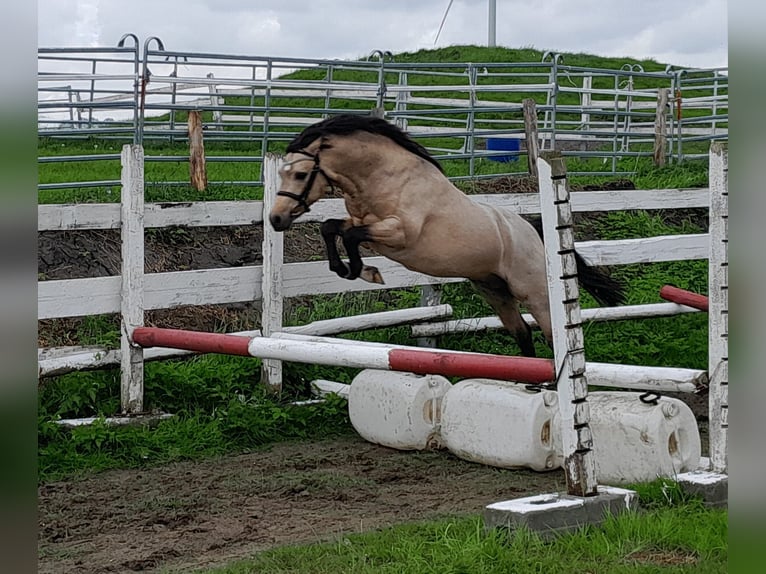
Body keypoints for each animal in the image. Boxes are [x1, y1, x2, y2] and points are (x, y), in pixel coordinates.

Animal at [268, 113, 628, 358]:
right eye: (282, 173)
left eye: (300, 174)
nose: (276, 218)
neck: (386, 177)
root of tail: (532, 232)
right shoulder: (369, 228)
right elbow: (332, 228)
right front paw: (354, 270)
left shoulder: (399, 234)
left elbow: (352, 236)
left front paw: (364, 272)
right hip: (493, 290)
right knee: (522, 332)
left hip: (534, 292)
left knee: (553, 335)